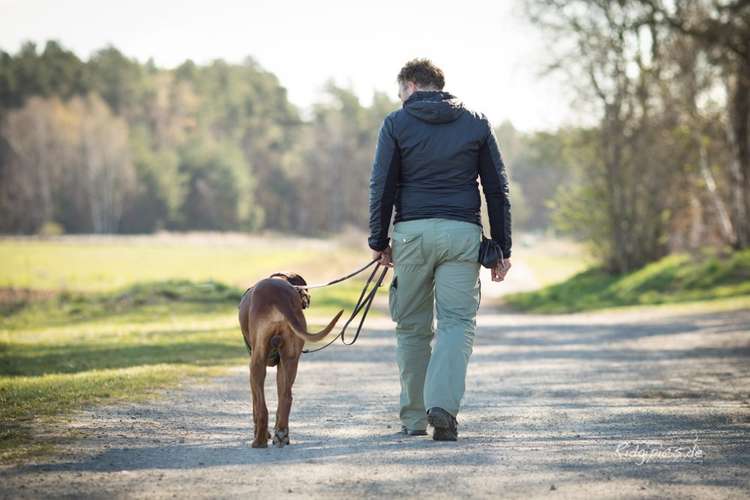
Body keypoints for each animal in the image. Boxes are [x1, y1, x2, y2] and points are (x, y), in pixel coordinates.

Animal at [239, 274, 346, 450]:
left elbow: (255, 404)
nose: (309, 298)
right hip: (291, 358)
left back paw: (259, 441)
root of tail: (279, 296)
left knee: (262, 408)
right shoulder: (281, 365)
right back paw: (282, 434)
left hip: (256, 363)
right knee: (286, 397)